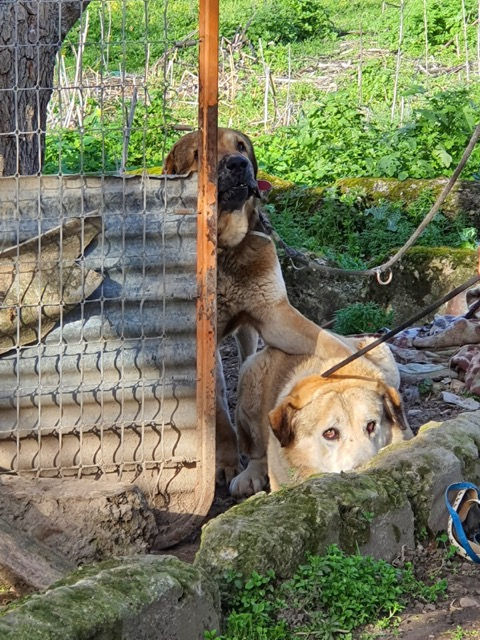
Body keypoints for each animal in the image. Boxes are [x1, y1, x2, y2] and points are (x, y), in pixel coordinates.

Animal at [164, 129, 399, 483]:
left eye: (241, 146)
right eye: (199, 152)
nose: (239, 164)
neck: (225, 249)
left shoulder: (277, 316)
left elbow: (332, 343)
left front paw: (369, 374)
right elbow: (216, 406)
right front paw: (225, 460)